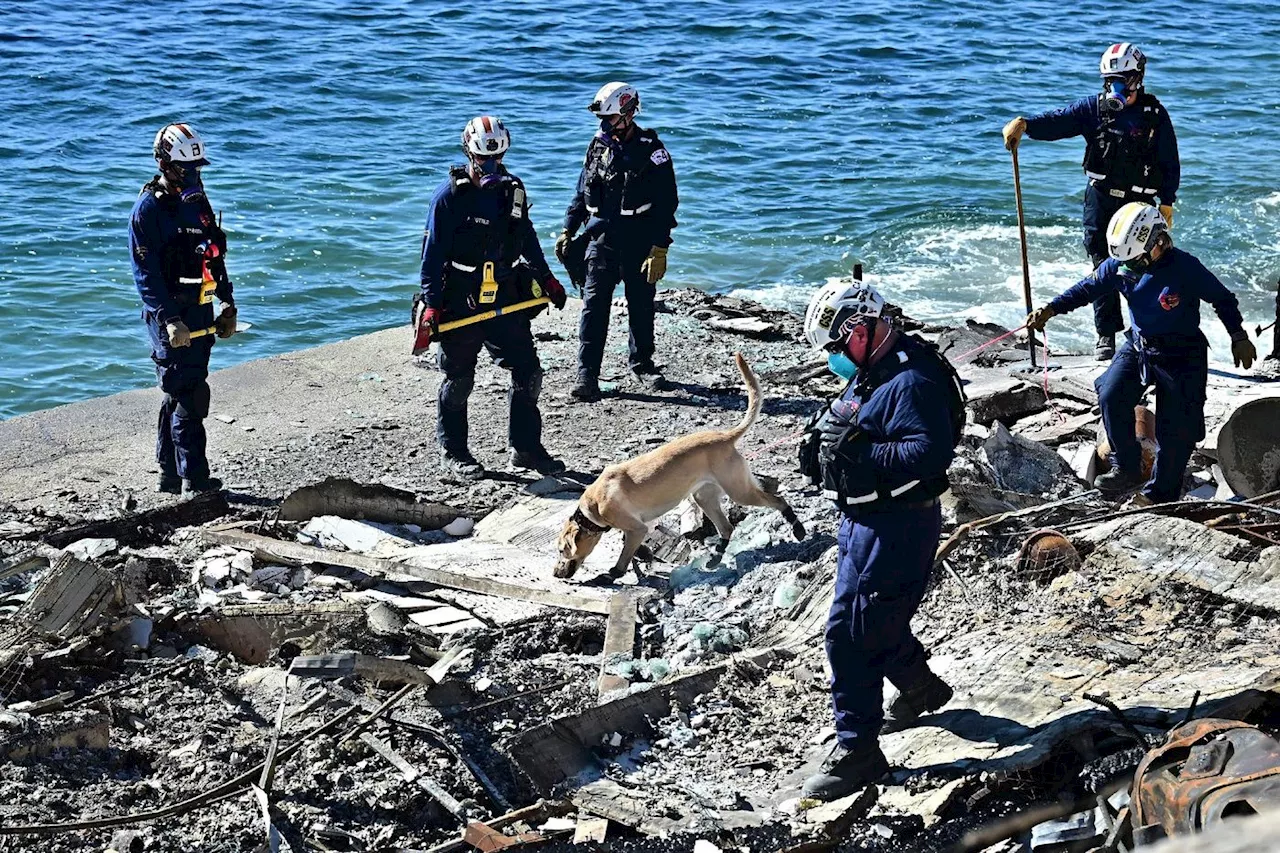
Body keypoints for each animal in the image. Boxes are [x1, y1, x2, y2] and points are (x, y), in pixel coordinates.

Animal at [555, 350, 803, 578]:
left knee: (778, 500)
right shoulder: (640, 527)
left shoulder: (637, 527)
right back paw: (715, 558)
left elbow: (624, 556)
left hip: (740, 491)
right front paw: (643, 556)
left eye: (561, 550)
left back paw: (797, 528)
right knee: (726, 527)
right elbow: (634, 547)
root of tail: (725, 436)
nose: (555, 573)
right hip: (704, 497)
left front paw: (613, 573)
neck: (594, 505)